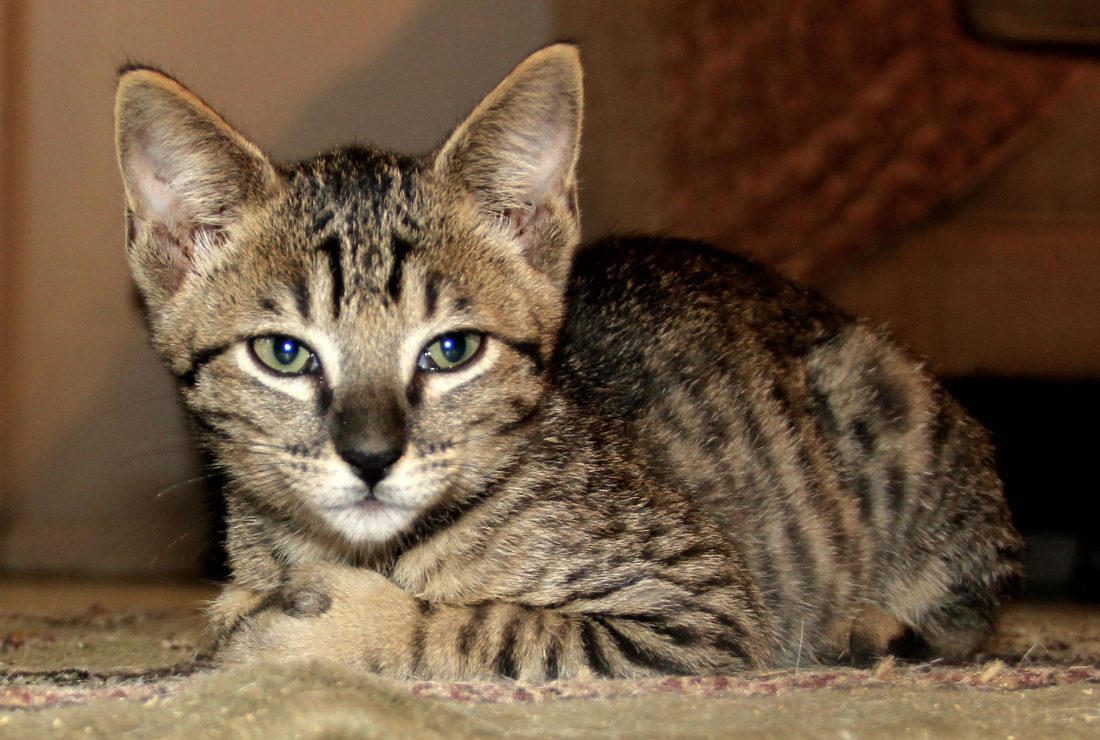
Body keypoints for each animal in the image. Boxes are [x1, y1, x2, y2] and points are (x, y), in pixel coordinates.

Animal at [113, 44, 1020, 681]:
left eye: (452, 350)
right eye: (283, 354)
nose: (371, 457)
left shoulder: (702, 605)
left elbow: (495, 625)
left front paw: (330, 630)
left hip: (885, 400)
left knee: (965, 617)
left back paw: (868, 628)